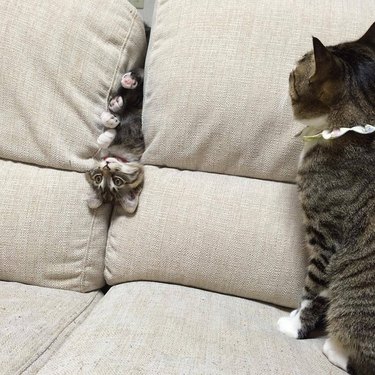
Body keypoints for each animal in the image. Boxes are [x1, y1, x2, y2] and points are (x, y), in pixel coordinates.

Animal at [278, 23, 374, 375]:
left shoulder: (327, 237)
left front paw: (295, 325)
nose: (286, 72)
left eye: (294, 75)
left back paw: (334, 349)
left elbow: (313, 290)